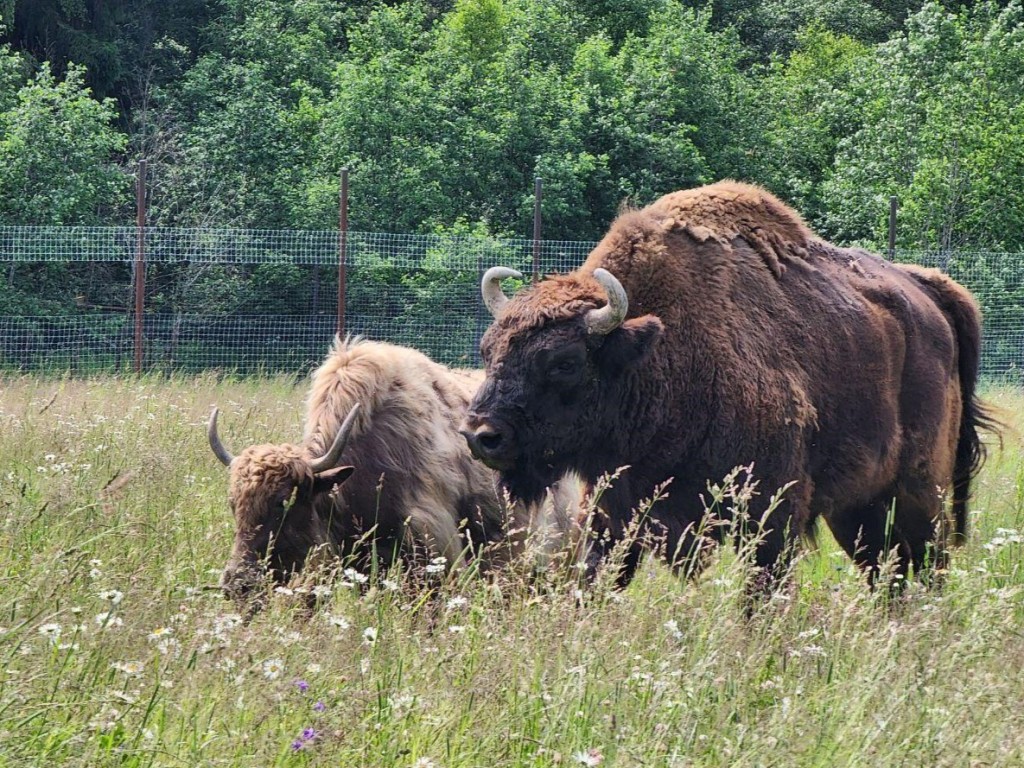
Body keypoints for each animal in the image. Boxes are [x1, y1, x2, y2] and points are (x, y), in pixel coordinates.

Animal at [462, 180, 991, 593]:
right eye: (488, 350)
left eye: (566, 363)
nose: (481, 435)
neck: (658, 353)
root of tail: (932, 291)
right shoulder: (613, 513)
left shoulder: (771, 513)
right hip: (859, 507)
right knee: (888, 571)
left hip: (919, 492)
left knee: (928, 564)